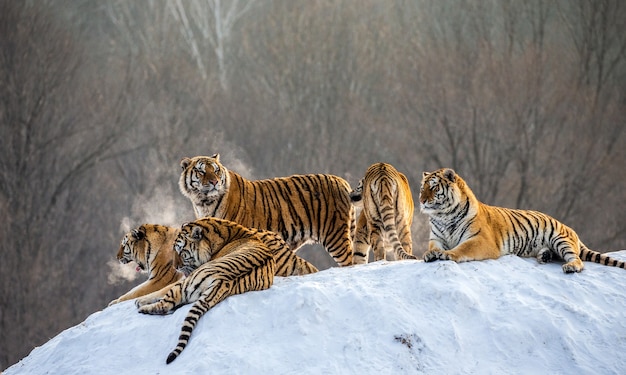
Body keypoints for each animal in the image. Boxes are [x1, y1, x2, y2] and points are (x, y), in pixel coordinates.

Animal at [136, 241, 276, 364]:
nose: (177, 266)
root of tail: (221, 281)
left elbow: (160, 290)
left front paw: (139, 301)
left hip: (184, 285)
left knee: (164, 305)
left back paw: (143, 309)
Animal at [420, 170, 624, 274]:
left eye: (434, 188)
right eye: (422, 188)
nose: (421, 200)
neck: (444, 216)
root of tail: (570, 230)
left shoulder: (481, 240)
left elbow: (462, 248)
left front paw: (447, 254)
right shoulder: (436, 238)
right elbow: (432, 247)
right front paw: (430, 254)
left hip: (560, 239)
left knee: (578, 260)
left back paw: (570, 267)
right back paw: (545, 256)